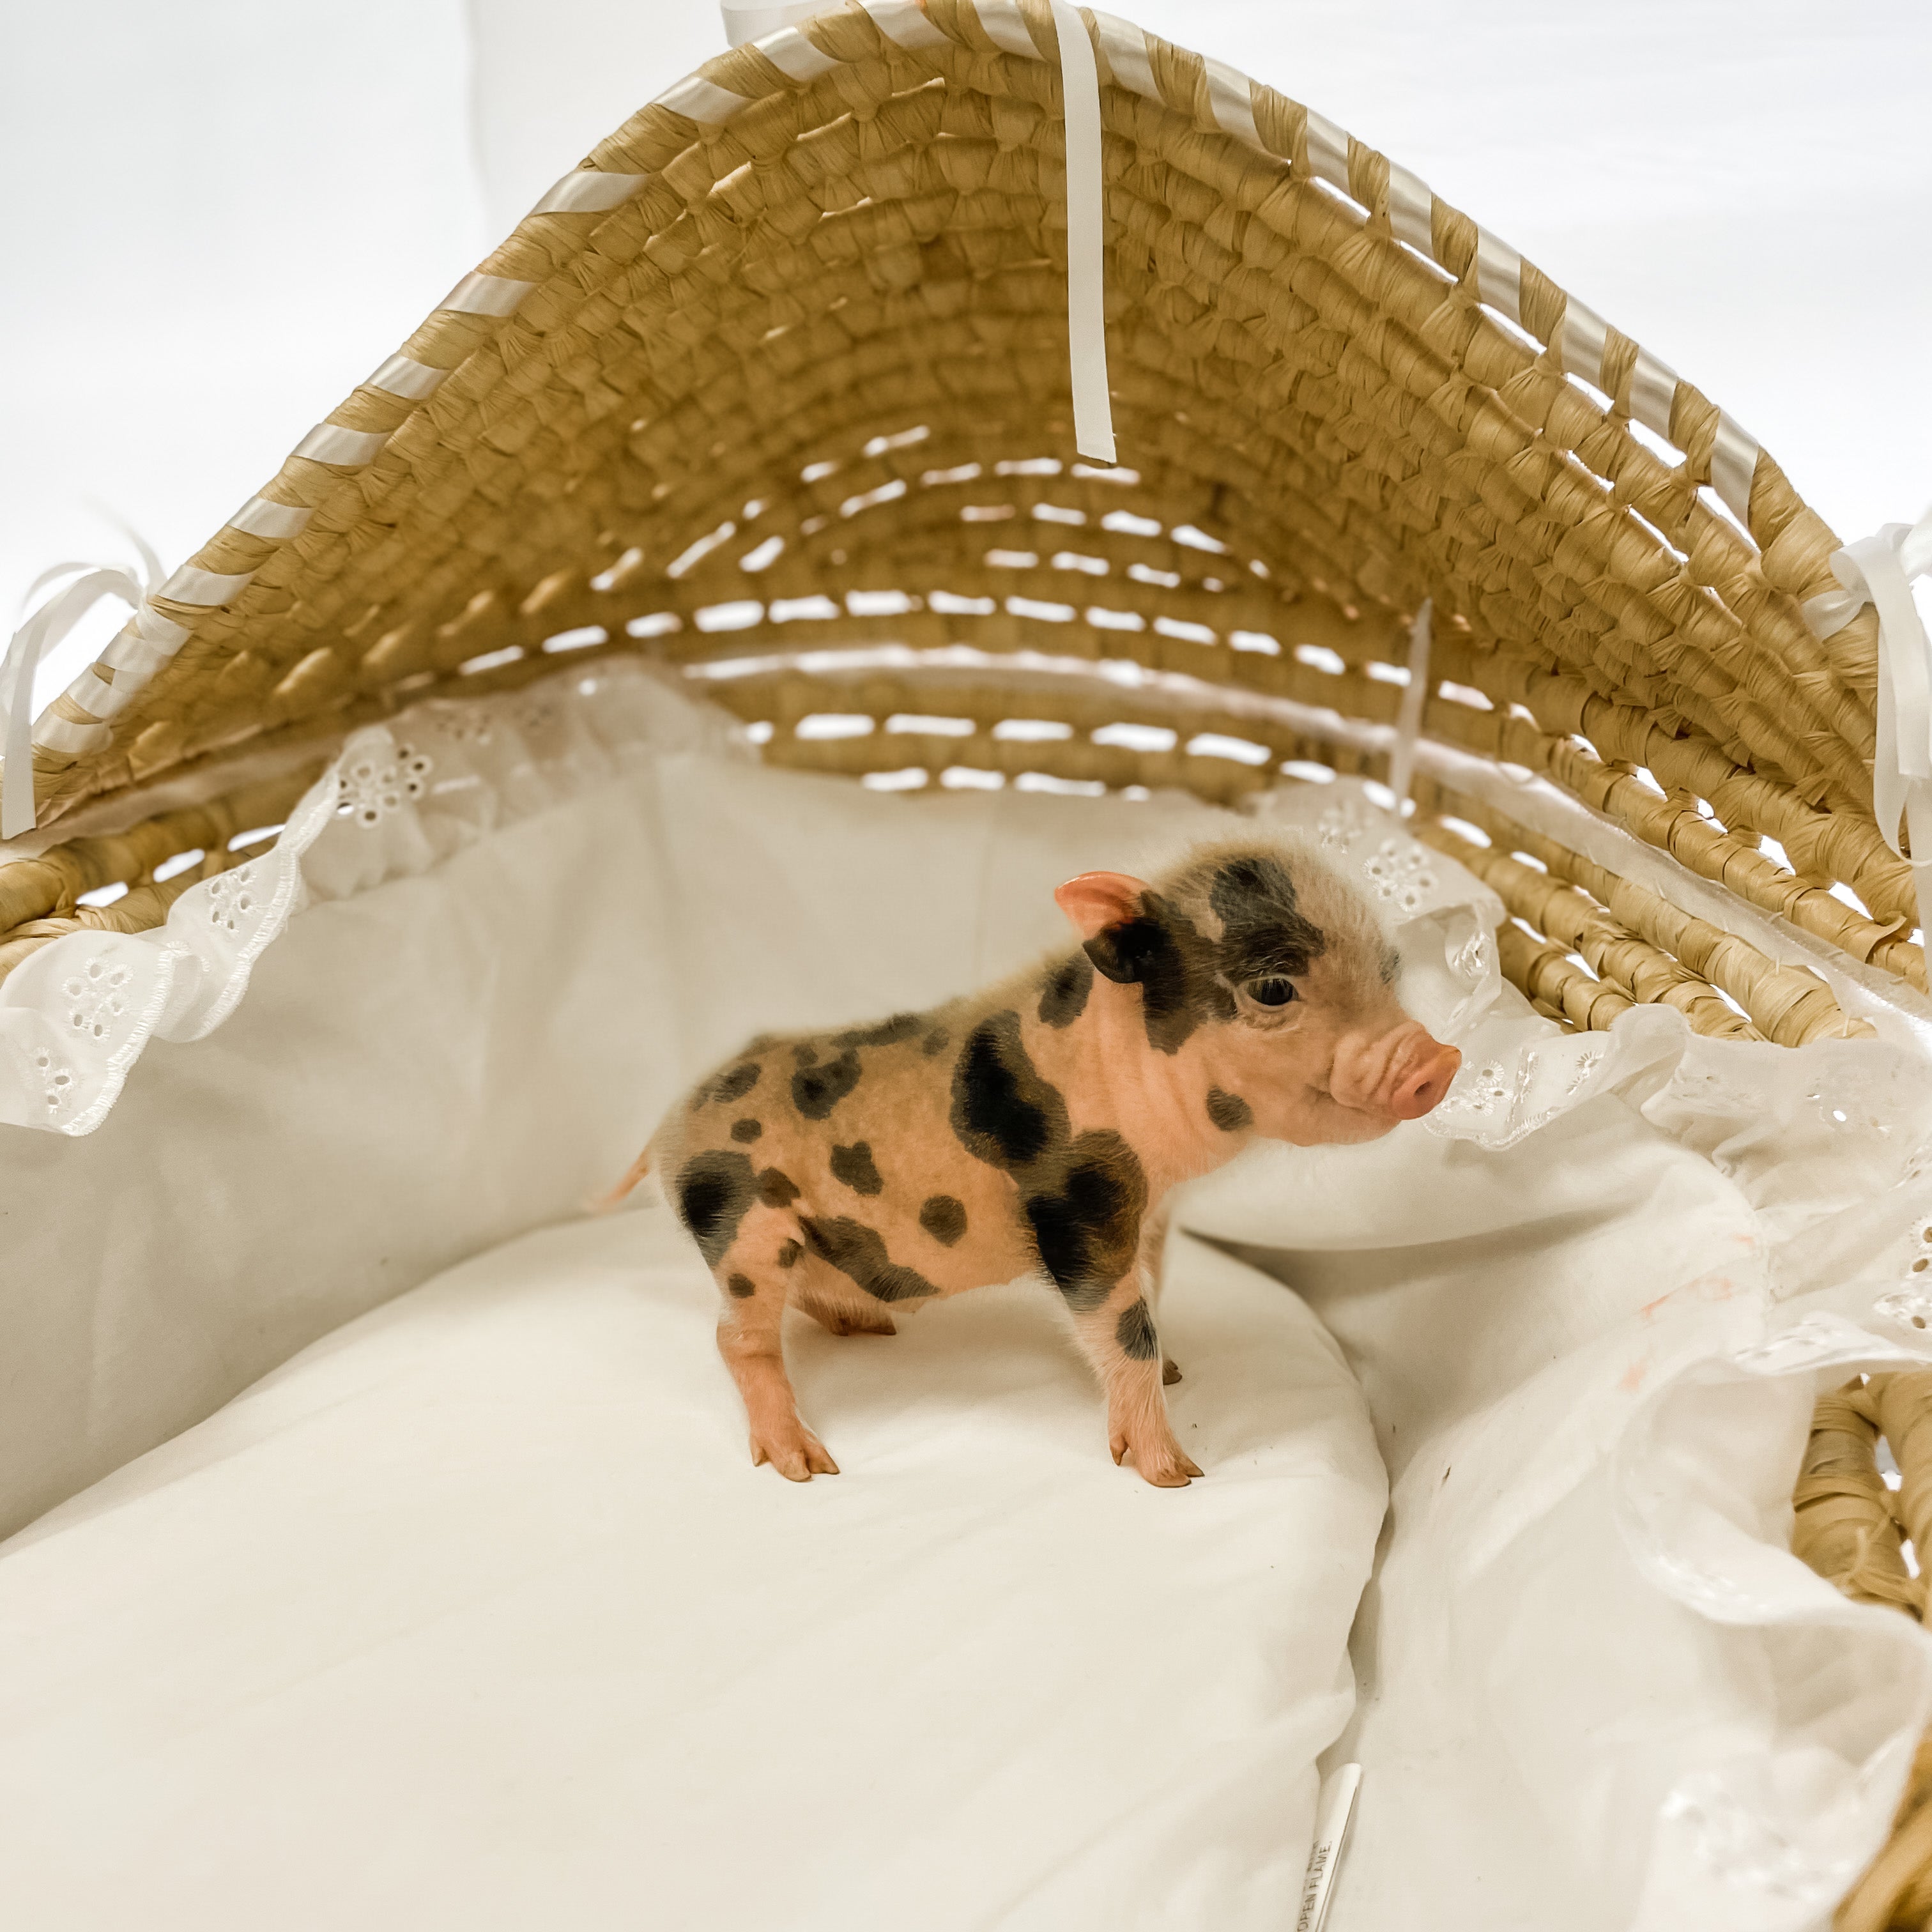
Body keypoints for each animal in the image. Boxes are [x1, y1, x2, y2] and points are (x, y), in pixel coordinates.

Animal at [613, 836, 1460, 1486]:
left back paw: (871, 1329)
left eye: (1390, 972)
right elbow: (1123, 1324)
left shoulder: (1151, 1210)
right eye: (1275, 987)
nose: (1441, 1062)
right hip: (745, 1230)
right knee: (737, 1338)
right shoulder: (1077, 1200)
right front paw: (1174, 1473)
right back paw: (806, 1466)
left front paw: (1180, 1372)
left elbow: (1153, 1291)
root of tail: (670, 1126)